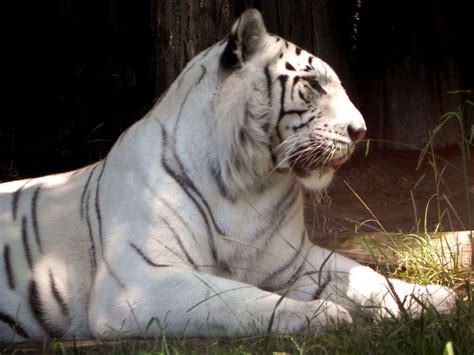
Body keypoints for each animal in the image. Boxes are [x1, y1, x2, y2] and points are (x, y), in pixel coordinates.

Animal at [0, 8, 456, 342]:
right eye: (312, 85)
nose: (361, 131)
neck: (250, 182)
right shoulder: (140, 279)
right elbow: (234, 298)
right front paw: (322, 314)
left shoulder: (294, 261)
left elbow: (367, 277)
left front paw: (435, 298)